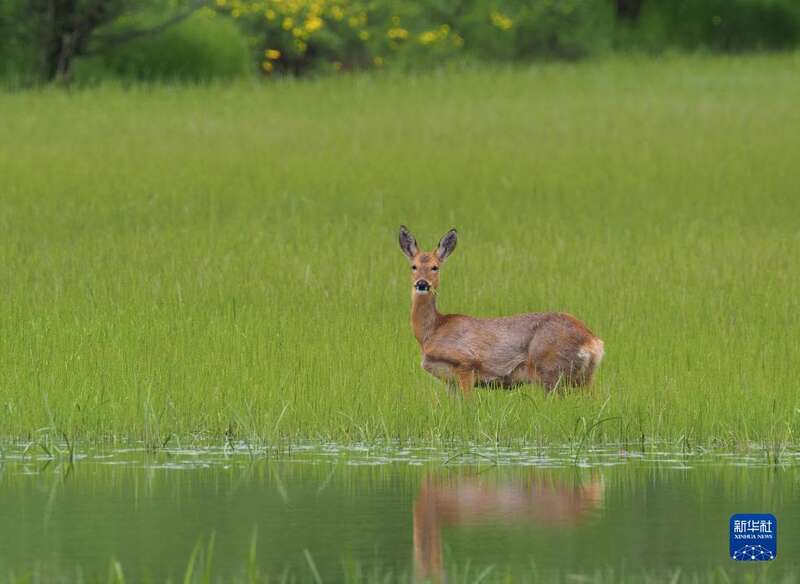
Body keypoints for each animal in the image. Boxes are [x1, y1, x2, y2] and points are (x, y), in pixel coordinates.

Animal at [400, 225, 608, 396]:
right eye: (413, 266)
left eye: (435, 267)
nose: (422, 284)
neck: (432, 331)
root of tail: (594, 342)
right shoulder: (450, 381)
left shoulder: (465, 364)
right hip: (583, 377)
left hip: (551, 370)